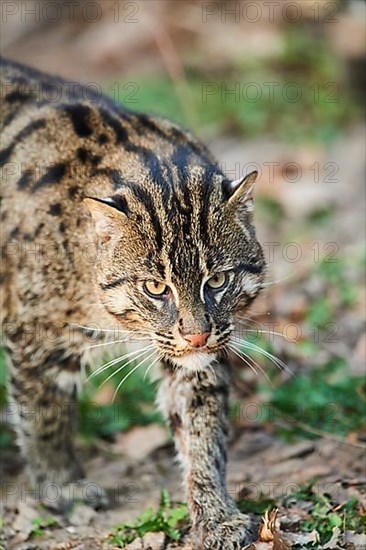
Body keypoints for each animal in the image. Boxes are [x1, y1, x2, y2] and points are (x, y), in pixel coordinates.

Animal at [0, 58, 264, 548]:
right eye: (156, 288)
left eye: (218, 280)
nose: (197, 335)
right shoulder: (35, 336)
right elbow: (44, 415)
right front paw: (62, 486)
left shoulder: (196, 357)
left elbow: (202, 430)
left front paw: (215, 515)